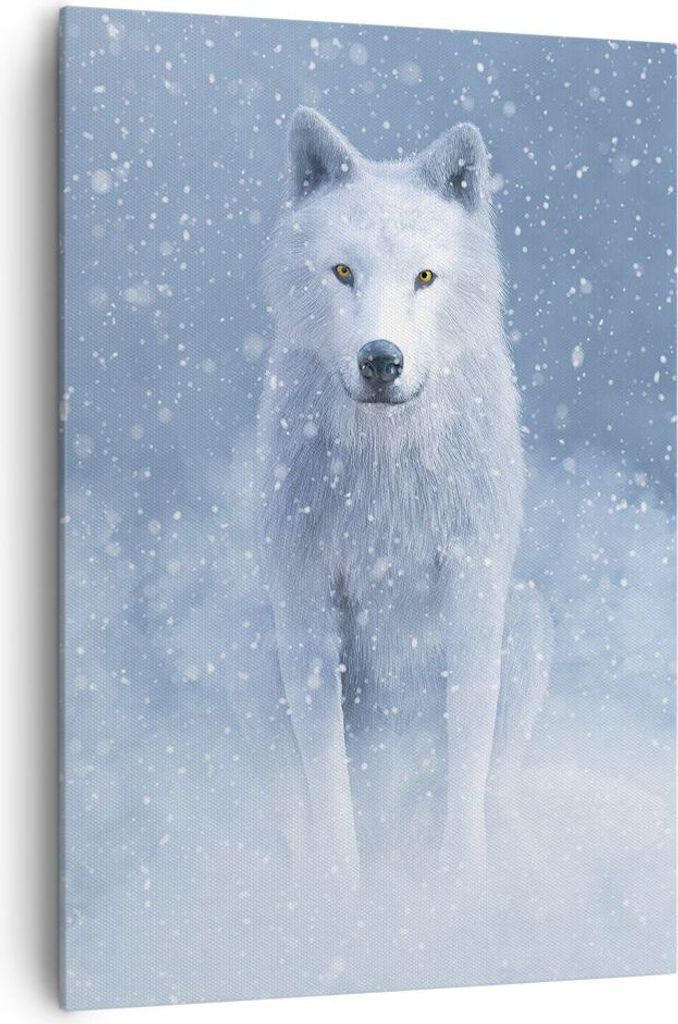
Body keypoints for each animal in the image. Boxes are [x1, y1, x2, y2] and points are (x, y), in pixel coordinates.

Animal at [257, 107, 551, 898]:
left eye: (424, 276)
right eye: (343, 271)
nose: (379, 360)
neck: (385, 468)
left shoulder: (473, 585)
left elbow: (467, 747)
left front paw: (460, 891)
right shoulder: (304, 591)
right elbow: (326, 769)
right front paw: (339, 896)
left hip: (528, 617)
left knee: (497, 781)